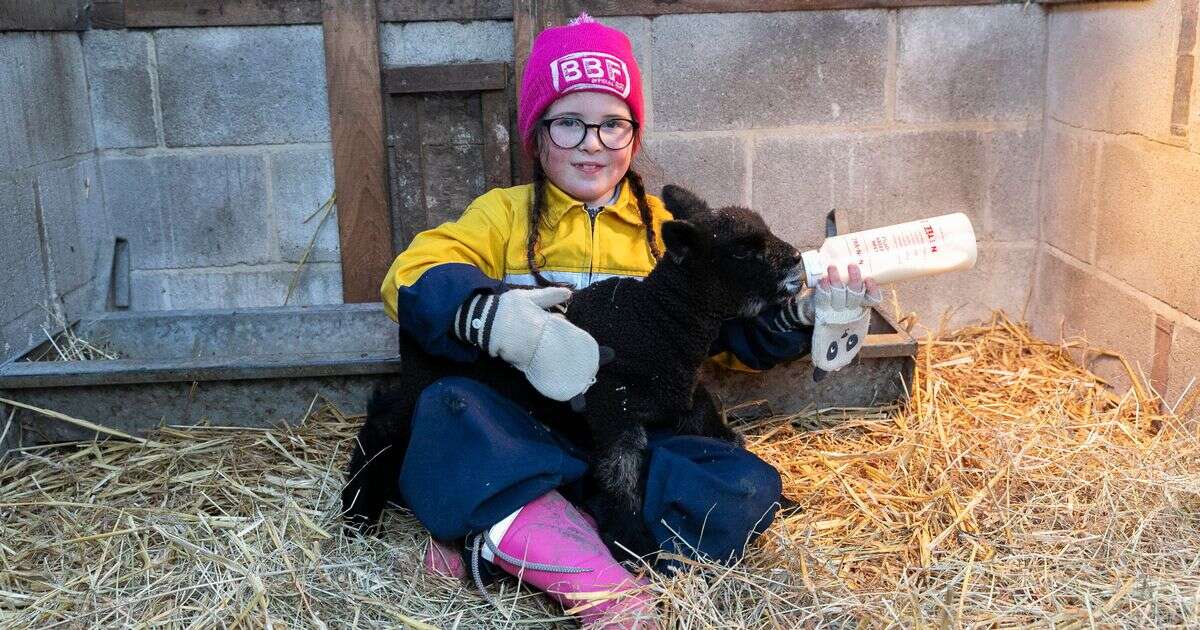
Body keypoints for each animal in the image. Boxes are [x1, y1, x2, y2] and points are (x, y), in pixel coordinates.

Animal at [343, 186, 806, 554]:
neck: (657, 322)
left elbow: (721, 433)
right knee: (386, 426)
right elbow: (620, 474)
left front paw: (787, 502)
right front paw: (633, 544)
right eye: (742, 249)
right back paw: (358, 511)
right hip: (428, 381)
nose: (797, 261)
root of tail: (406, 318)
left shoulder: (682, 398)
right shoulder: (611, 407)